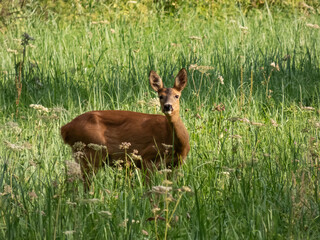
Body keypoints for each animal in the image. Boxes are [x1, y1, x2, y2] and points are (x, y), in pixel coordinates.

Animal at [60, 67, 190, 186]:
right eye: (160, 96)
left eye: (177, 96)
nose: (168, 106)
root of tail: (65, 129)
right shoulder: (147, 157)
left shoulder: (175, 164)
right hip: (91, 150)